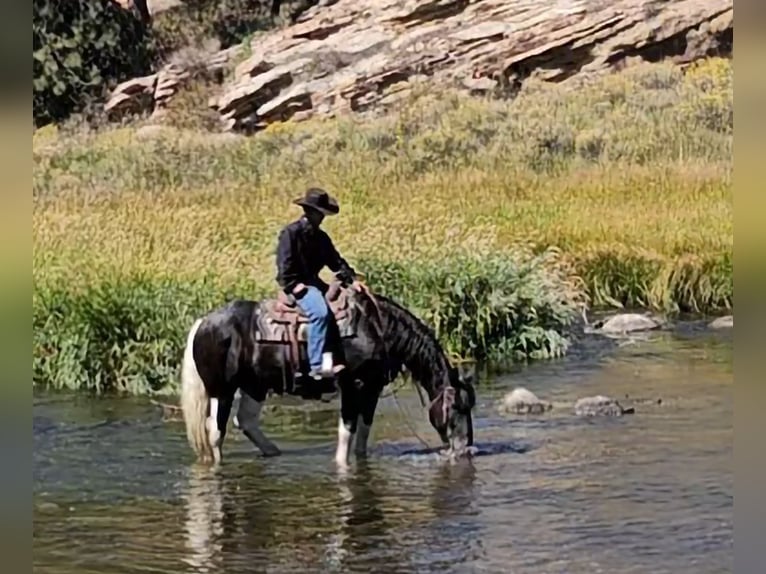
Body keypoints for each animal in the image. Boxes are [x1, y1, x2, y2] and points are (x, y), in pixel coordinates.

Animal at [182, 282, 476, 470]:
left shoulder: (372, 388)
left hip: (255, 386)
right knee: (215, 431)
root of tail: (203, 323)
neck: (376, 329)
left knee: (245, 421)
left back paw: (274, 452)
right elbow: (347, 431)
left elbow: (363, 433)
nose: (465, 450)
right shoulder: (353, 386)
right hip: (223, 390)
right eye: (456, 407)